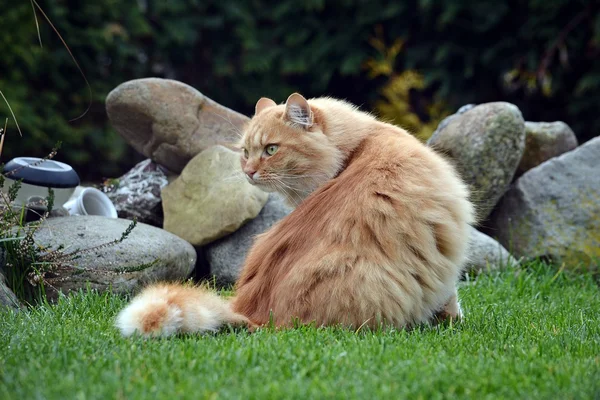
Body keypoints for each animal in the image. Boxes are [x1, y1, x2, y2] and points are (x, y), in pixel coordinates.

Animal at [116, 92, 474, 336]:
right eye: (245, 152)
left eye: (271, 150)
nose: (248, 171)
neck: (357, 147)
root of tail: (254, 314)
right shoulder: (443, 254)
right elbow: (450, 293)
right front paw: (453, 320)